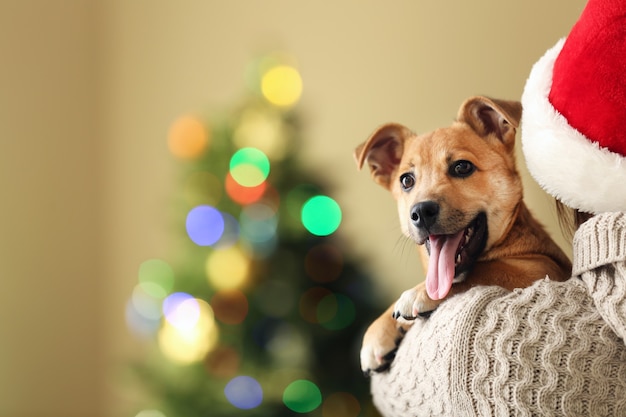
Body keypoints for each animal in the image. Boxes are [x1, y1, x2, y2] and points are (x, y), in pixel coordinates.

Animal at [352, 95, 572, 374]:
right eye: (406, 181)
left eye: (462, 167)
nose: (420, 212)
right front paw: (378, 332)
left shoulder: (545, 267)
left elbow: (489, 269)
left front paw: (420, 293)